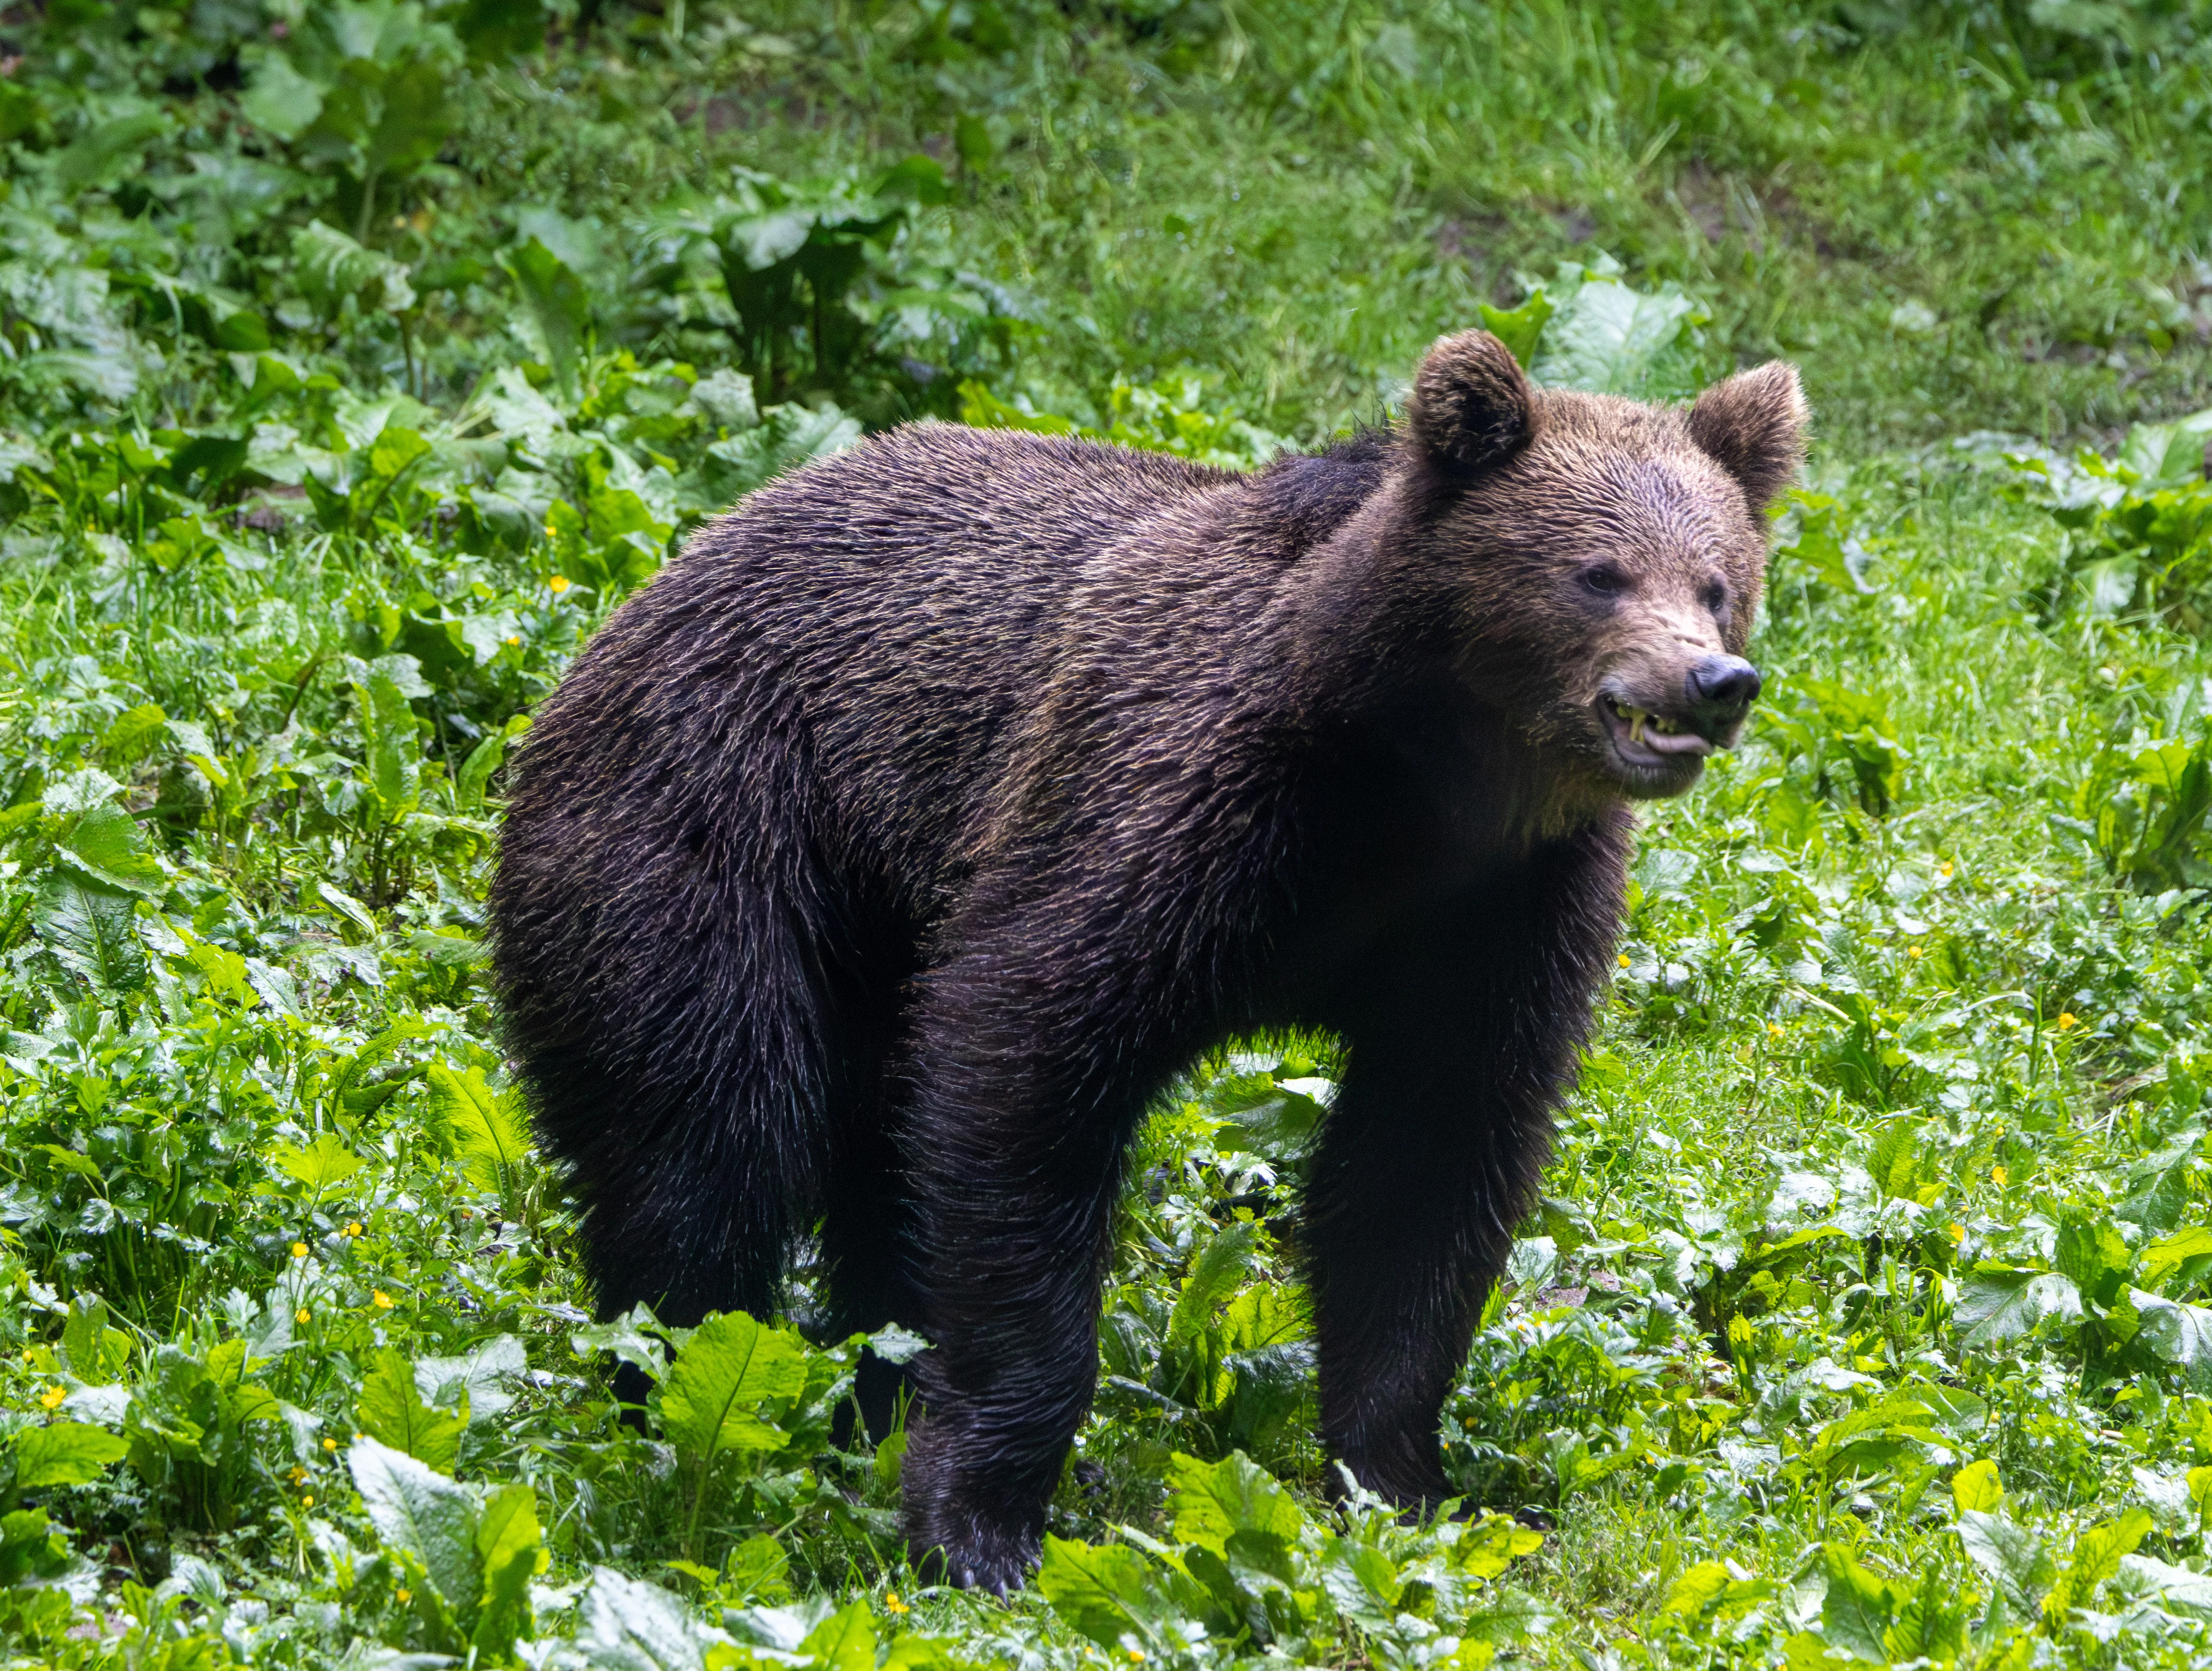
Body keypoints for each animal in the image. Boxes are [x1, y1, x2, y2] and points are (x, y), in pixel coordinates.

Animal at [487, 329, 1808, 1592]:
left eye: (1719, 581)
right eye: (1597, 571)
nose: (1710, 680)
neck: (1405, 774)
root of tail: (634, 604)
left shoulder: (1497, 914)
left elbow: (1420, 1171)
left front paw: (1402, 1483)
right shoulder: (1169, 804)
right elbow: (1024, 1066)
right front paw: (984, 1517)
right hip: (722, 831)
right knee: (712, 1136)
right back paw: (683, 1384)